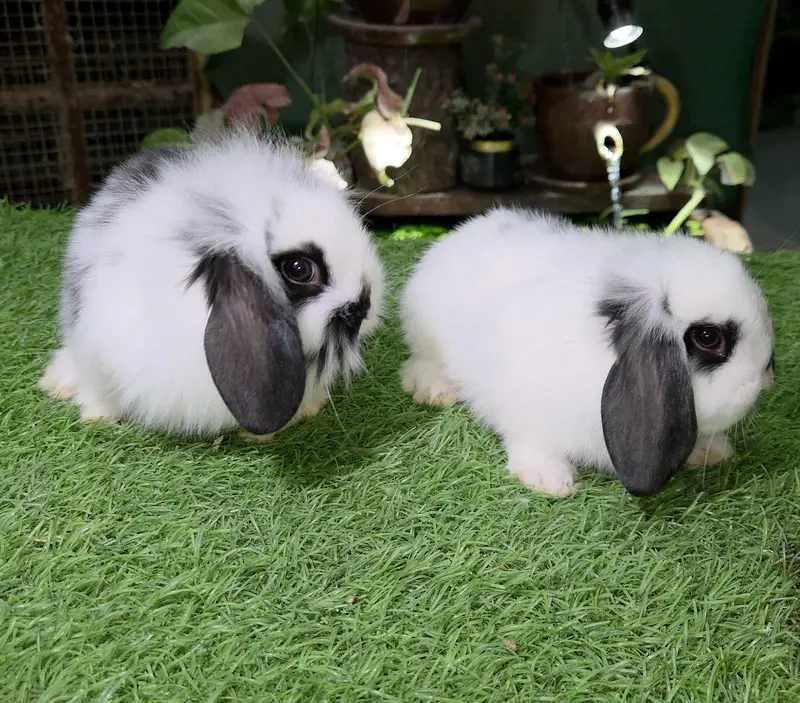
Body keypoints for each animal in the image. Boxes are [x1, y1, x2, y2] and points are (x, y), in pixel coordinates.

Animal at [400, 208, 775, 498]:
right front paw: (550, 480)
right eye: (708, 337)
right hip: (426, 335)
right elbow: (529, 440)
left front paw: (713, 450)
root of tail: (465, 231)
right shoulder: (523, 405)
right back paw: (434, 390)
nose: (765, 379)